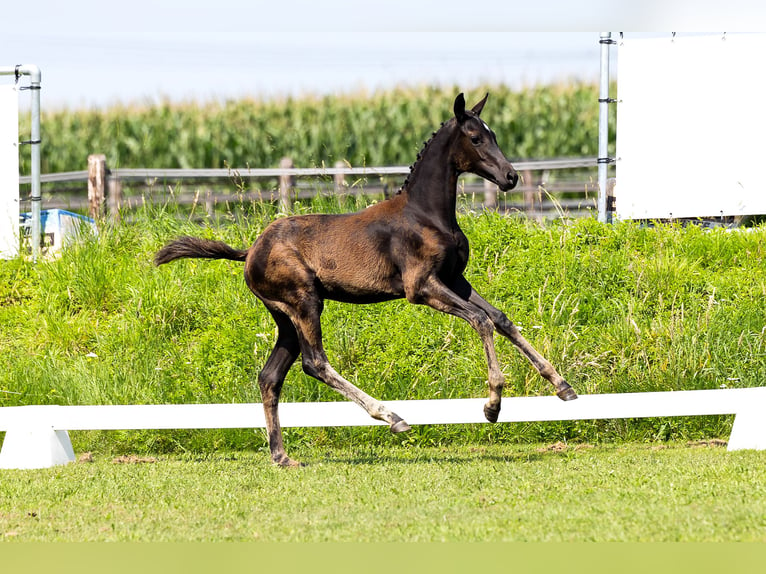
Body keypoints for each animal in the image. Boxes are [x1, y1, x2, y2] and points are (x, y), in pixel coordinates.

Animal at [156, 93, 576, 468]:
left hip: (284, 317)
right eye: (475, 138)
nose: (510, 177)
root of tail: (249, 251)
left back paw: (282, 456)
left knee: (270, 375)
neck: (426, 215)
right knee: (315, 362)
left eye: (495, 135)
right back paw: (393, 418)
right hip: (305, 302)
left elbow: (501, 318)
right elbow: (481, 320)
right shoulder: (421, 288)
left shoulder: (455, 280)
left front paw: (562, 386)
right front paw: (492, 405)